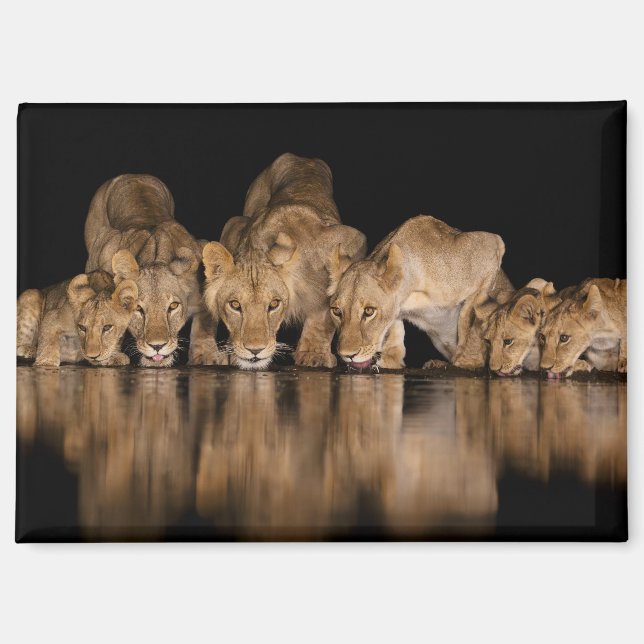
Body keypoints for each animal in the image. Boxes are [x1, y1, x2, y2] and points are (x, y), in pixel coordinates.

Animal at [84, 174, 218, 367]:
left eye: (173, 306)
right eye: (138, 308)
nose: (157, 346)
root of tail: (132, 174)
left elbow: (204, 325)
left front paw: (206, 354)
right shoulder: (103, 253)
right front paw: (109, 355)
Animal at [202, 153, 367, 370]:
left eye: (274, 304)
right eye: (235, 305)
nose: (255, 350)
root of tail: (302, 157)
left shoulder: (352, 240)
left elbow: (323, 313)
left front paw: (313, 353)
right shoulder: (234, 225)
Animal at [327, 215, 509, 370]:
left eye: (369, 311)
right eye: (336, 311)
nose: (347, 355)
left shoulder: (491, 245)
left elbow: (469, 319)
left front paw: (465, 362)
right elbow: (394, 326)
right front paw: (391, 359)